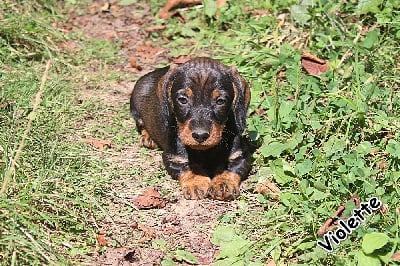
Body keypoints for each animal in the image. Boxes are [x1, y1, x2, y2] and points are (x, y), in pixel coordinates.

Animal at [130, 57, 250, 201]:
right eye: (182, 100)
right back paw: (148, 138)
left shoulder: (240, 155)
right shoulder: (174, 157)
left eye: (220, 101)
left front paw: (223, 183)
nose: (200, 135)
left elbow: (229, 168)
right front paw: (196, 182)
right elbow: (188, 165)